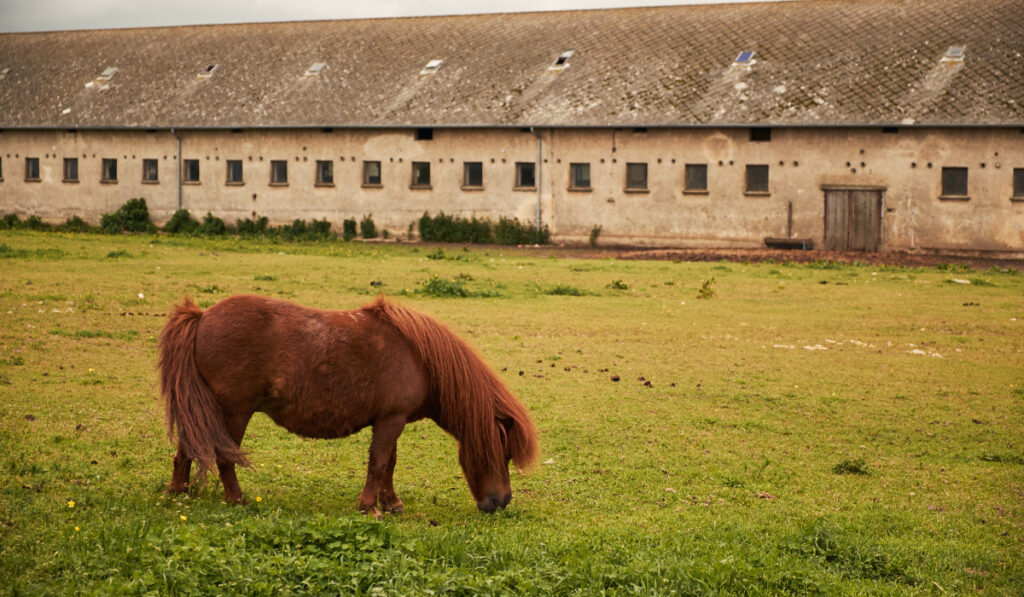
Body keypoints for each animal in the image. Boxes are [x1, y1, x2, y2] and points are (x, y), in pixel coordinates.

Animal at [156, 294, 540, 514]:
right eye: (503, 454)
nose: (502, 502)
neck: (420, 359)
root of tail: (202, 317)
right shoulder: (390, 421)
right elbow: (379, 462)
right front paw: (369, 507)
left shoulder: (392, 419)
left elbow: (390, 464)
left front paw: (391, 503)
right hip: (234, 412)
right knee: (225, 455)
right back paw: (236, 500)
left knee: (188, 447)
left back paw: (179, 491)